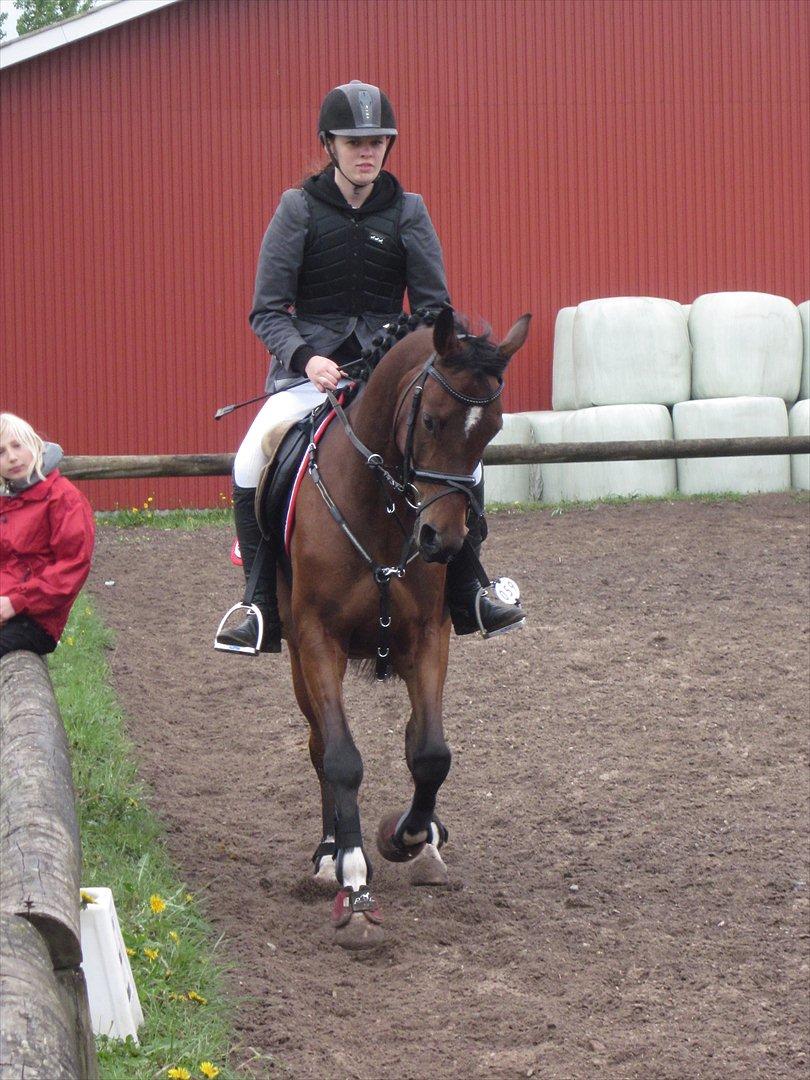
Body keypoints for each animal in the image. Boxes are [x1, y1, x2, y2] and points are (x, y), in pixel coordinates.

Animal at [276, 304, 533, 946]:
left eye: (491, 431)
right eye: (434, 421)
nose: (442, 541)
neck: (382, 508)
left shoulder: (428, 640)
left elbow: (431, 752)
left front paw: (407, 836)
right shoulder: (318, 641)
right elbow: (341, 759)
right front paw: (354, 881)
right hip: (295, 658)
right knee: (319, 746)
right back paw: (329, 855)